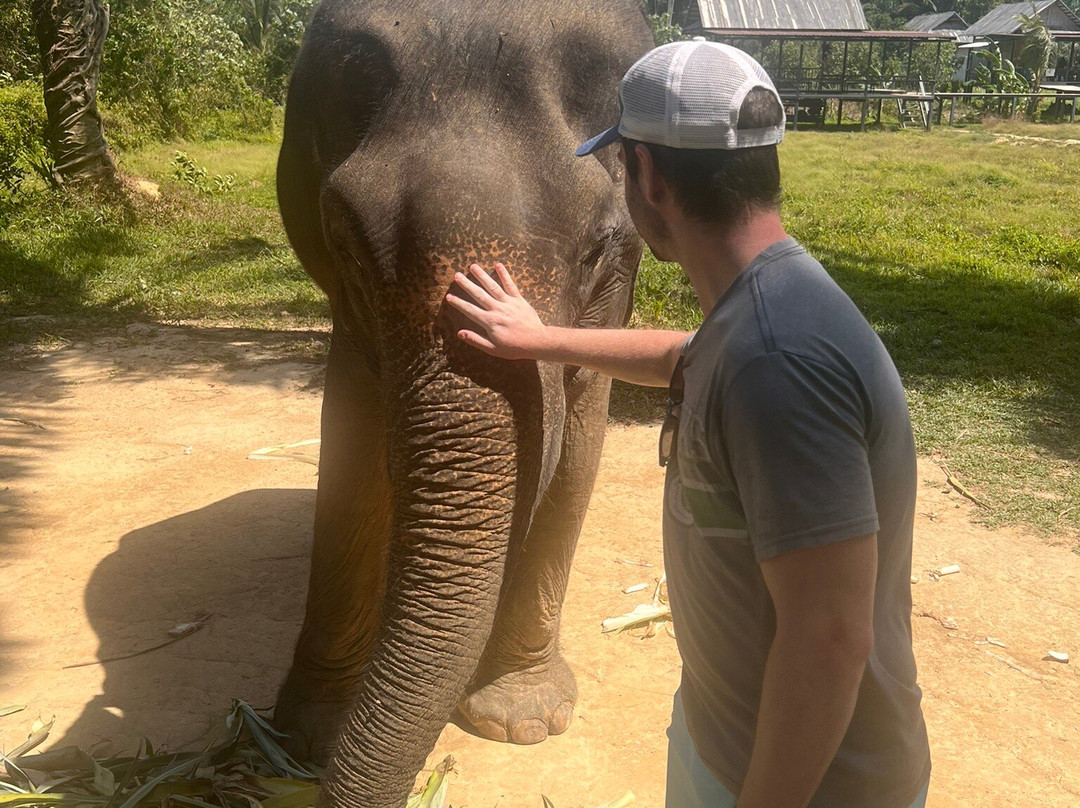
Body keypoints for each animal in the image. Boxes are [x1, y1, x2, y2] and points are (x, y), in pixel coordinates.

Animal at [272, 1, 653, 805]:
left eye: (597, 251)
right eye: (348, 246)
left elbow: (579, 453)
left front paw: (523, 720)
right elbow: (351, 455)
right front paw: (308, 736)